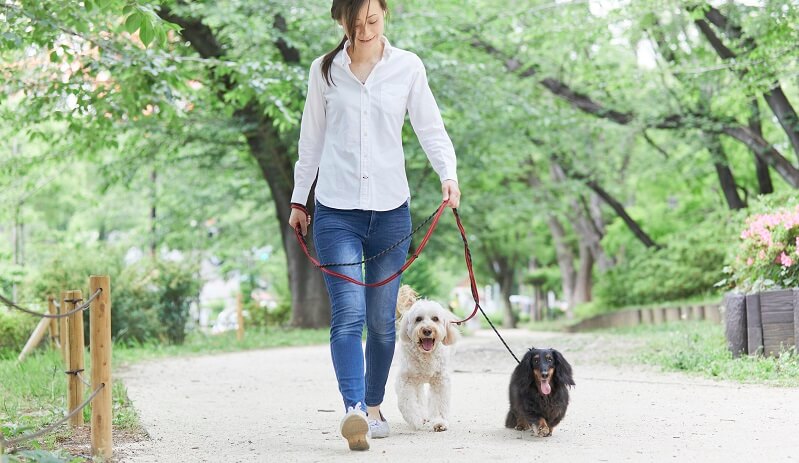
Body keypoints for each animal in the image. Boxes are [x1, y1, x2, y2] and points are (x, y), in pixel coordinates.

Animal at [396, 284, 460, 434]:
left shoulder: (440, 381)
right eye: (418, 319)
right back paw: (422, 415)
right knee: (418, 396)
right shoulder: (405, 380)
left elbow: (439, 403)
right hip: (415, 379)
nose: (427, 330)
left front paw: (439, 422)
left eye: (435, 319)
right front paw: (415, 419)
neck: (426, 355)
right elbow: (407, 402)